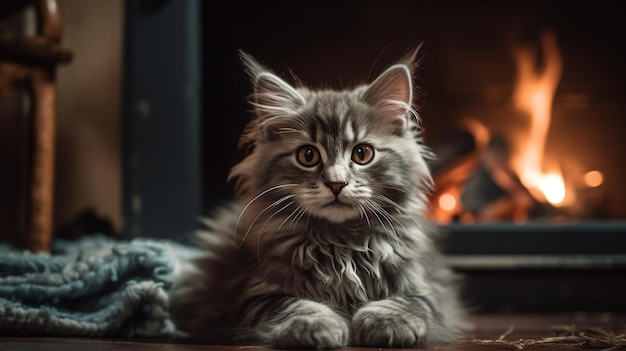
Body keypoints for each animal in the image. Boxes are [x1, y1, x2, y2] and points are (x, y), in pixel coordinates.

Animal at [168, 46, 466, 350]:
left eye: (362, 154)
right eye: (308, 155)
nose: (336, 183)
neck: (341, 244)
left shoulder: (426, 291)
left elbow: (403, 303)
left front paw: (388, 323)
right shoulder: (253, 294)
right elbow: (299, 305)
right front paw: (314, 328)